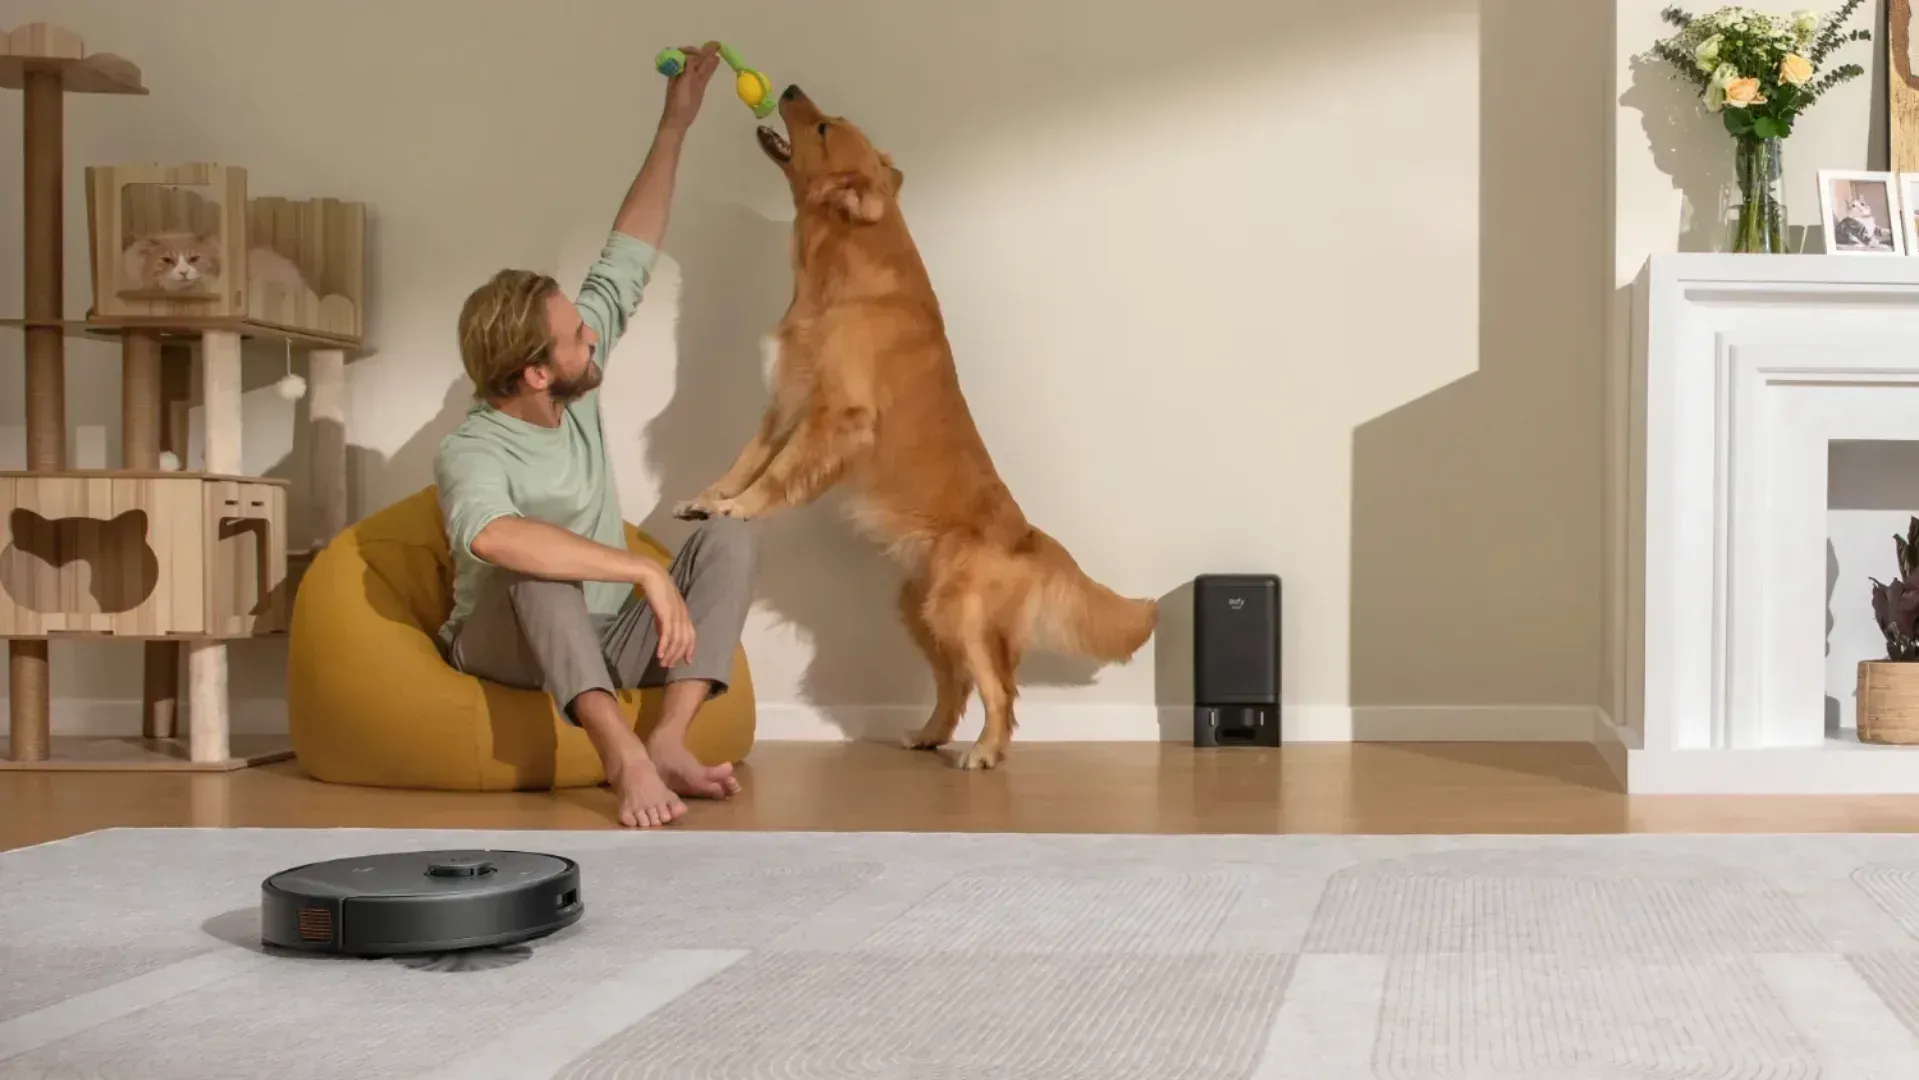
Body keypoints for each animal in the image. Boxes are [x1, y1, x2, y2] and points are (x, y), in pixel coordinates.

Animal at [675, 88, 1151, 774]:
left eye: (824, 127)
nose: (788, 90)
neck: (841, 265)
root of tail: (1031, 538)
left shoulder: (837, 417)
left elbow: (778, 476)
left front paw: (739, 509)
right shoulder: (786, 405)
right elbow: (745, 459)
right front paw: (709, 500)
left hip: (959, 611)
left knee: (998, 687)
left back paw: (984, 751)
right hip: (917, 608)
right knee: (956, 683)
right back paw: (930, 734)